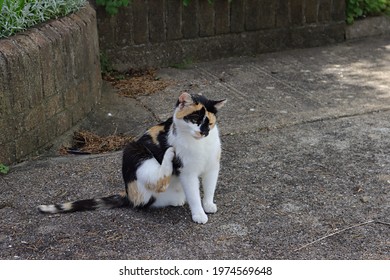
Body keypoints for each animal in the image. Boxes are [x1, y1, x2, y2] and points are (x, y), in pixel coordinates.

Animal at [38, 93, 227, 224]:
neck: (200, 145)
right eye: (194, 120)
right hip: (134, 150)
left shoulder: (212, 167)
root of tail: (128, 195)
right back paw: (168, 153)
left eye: (209, 123)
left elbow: (209, 188)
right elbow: (194, 195)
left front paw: (208, 204)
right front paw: (199, 214)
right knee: (159, 179)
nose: (203, 132)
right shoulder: (187, 174)